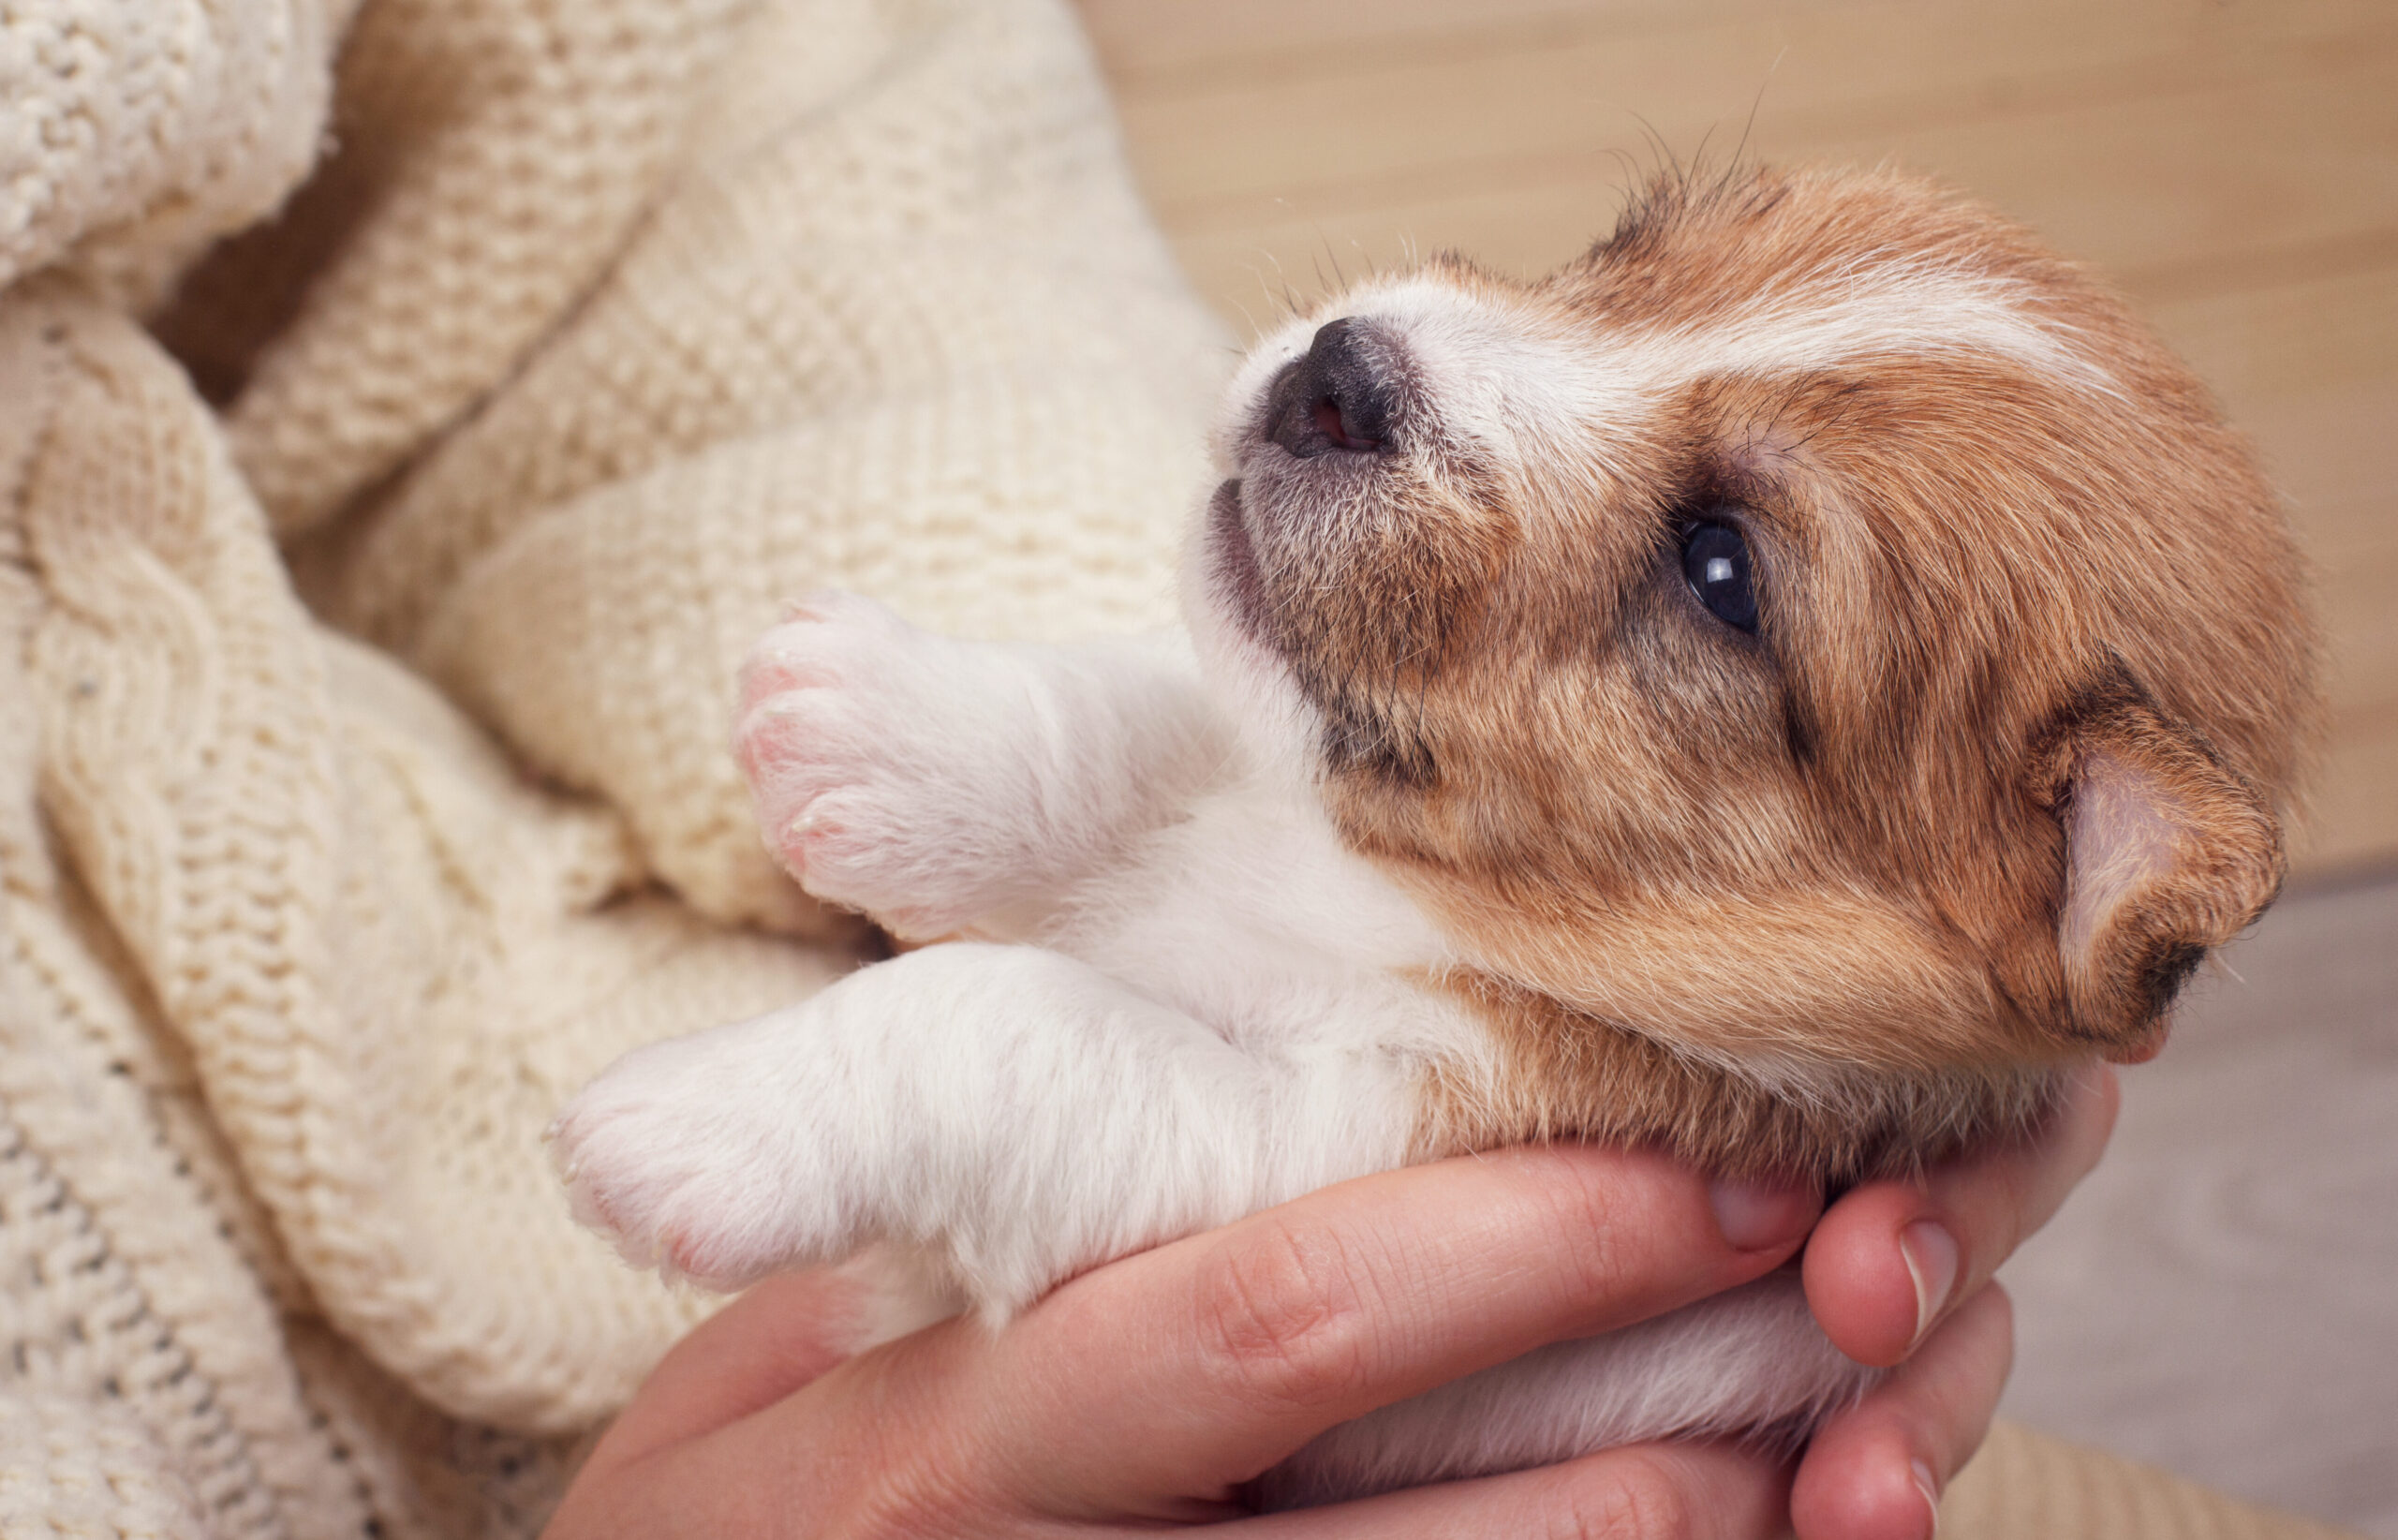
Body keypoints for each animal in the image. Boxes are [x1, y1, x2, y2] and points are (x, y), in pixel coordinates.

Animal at [551, 168, 2311, 1496]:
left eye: (1723, 574)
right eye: (1624, 247)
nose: (1337, 370)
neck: (1389, 898)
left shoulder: (1317, 1149)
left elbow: (1010, 1016)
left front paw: (701, 1116)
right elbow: (1139, 724)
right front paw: (876, 711)